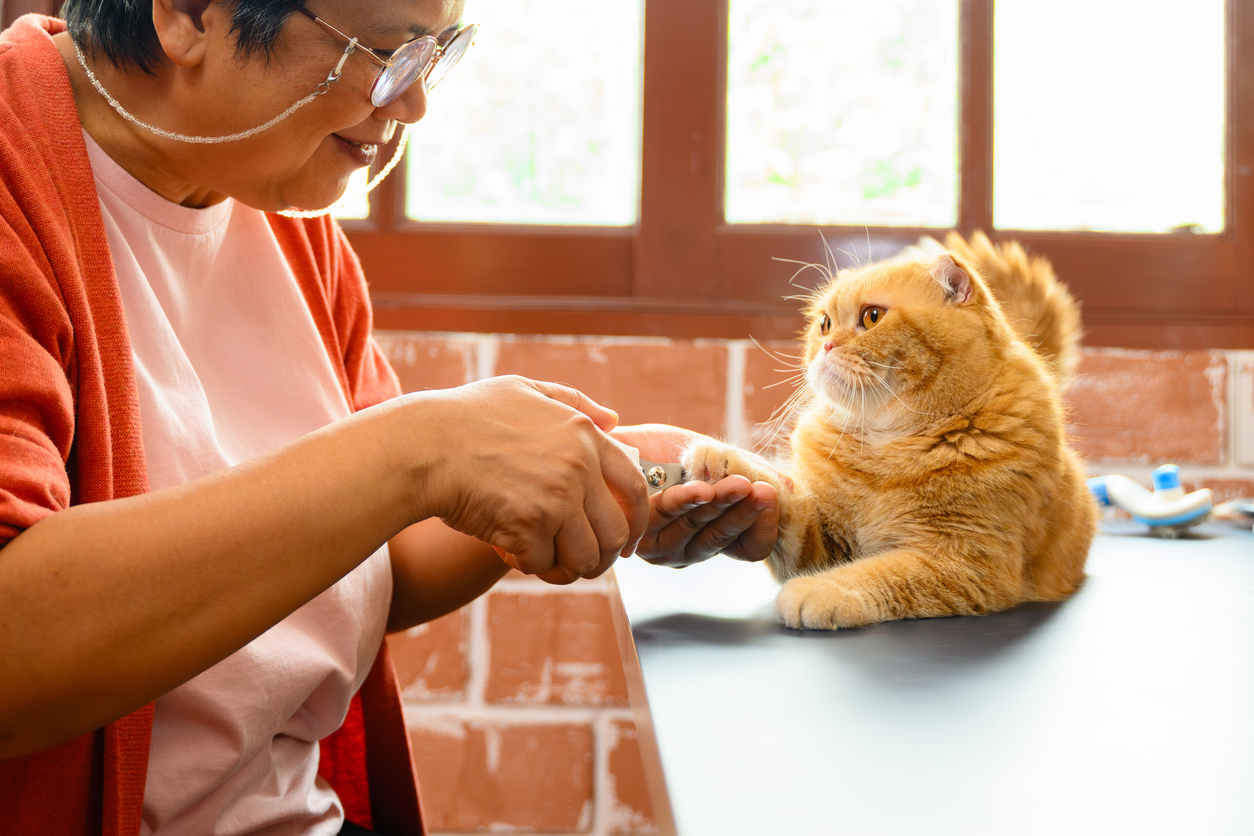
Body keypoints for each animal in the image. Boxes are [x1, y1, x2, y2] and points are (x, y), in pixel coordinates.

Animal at [687, 231, 1098, 631]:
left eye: (872, 317)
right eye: (824, 323)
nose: (826, 344)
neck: (886, 448)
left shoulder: (967, 563)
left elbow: (877, 573)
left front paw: (821, 591)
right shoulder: (822, 542)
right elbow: (786, 497)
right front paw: (724, 459)